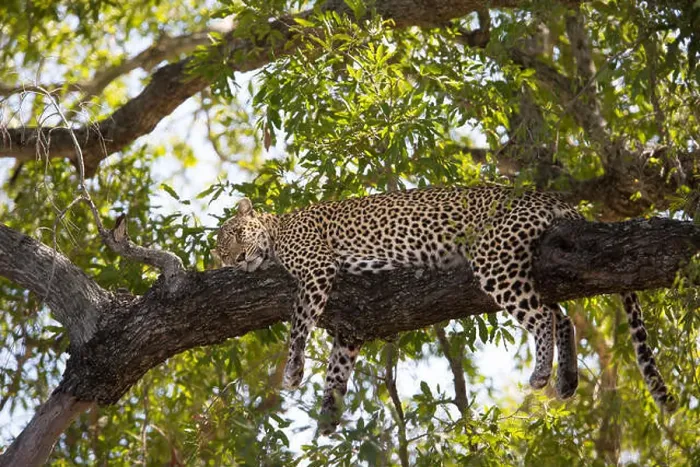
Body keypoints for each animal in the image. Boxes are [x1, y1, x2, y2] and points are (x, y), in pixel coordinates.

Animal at [214, 185, 677, 434]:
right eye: (220, 252)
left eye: (235, 235)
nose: (235, 262)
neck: (276, 231)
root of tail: (544, 195)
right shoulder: (350, 326)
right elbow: (337, 366)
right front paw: (328, 414)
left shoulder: (315, 269)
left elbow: (298, 324)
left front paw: (293, 369)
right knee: (563, 317)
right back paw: (566, 380)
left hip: (494, 260)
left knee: (545, 317)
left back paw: (542, 374)